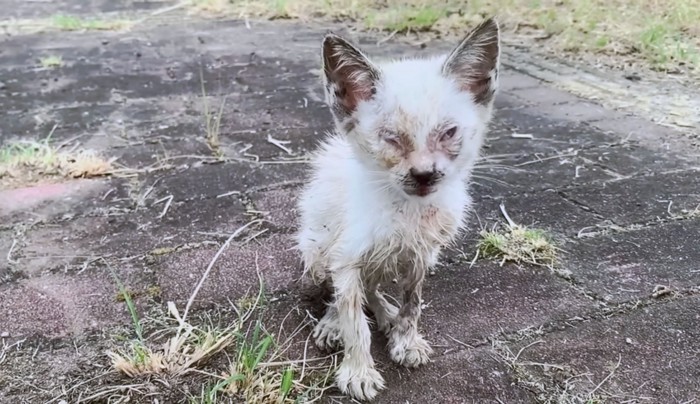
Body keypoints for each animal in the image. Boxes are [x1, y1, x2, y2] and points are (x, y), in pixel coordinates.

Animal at [292, 17, 500, 400]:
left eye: (449, 133)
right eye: (390, 138)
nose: (424, 174)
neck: (406, 208)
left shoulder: (422, 255)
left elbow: (412, 302)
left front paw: (406, 340)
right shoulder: (346, 256)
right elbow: (353, 317)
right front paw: (358, 371)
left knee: (371, 286)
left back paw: (385, 314)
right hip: (315, 248)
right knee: (336, 290)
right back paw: (333, 323)